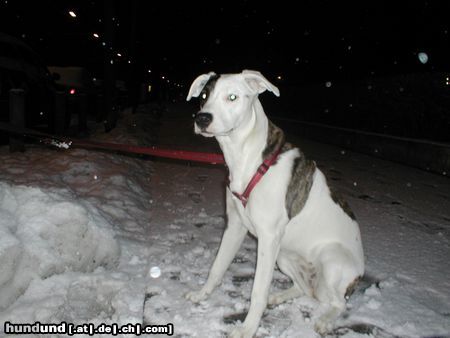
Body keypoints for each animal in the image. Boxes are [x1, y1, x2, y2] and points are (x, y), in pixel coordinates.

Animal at [185, 70, 364, 336]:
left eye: (232, 97)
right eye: (204, 96)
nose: (202, 118)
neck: (248, 158)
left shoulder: (268, 238)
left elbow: (258, 290)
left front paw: (247, 329)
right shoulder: (235, 226)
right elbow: (217, 267)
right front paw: (201, 294)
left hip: (331, 259)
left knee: (339, 303)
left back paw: (325, 320)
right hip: (284, 257)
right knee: (303, 288)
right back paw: (279, 297)